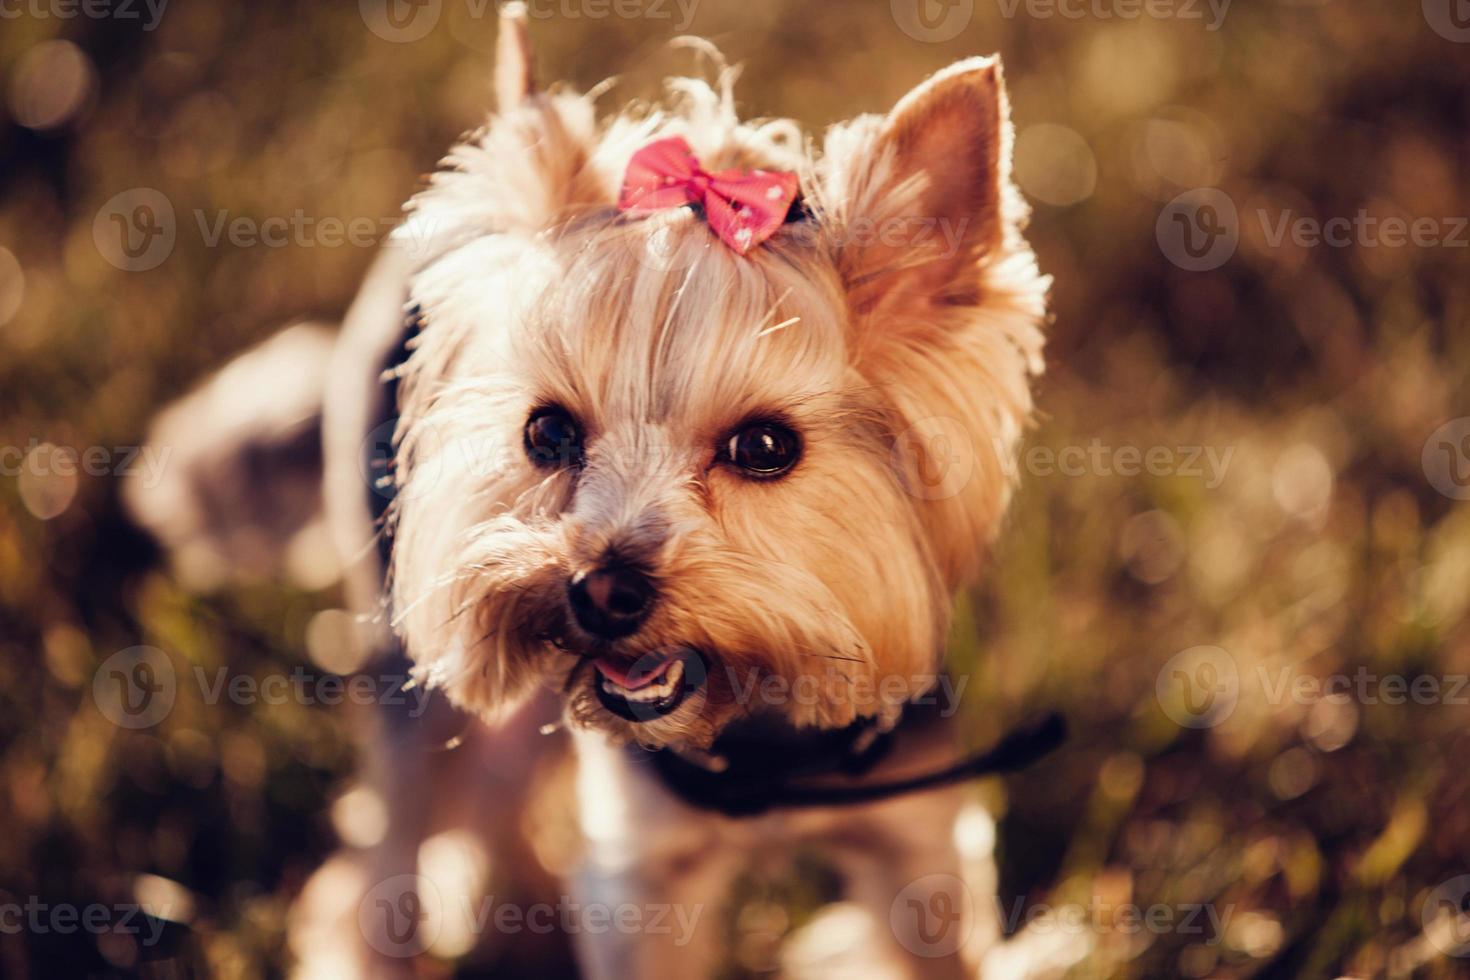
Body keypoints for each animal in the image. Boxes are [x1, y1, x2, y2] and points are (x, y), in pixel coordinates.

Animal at [132, 5, 1058, 975]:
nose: (602, 590)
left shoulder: (917, 839)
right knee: (394, 833)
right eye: (548, 433)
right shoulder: (642, 869)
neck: (753, 729)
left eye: (765, 445)